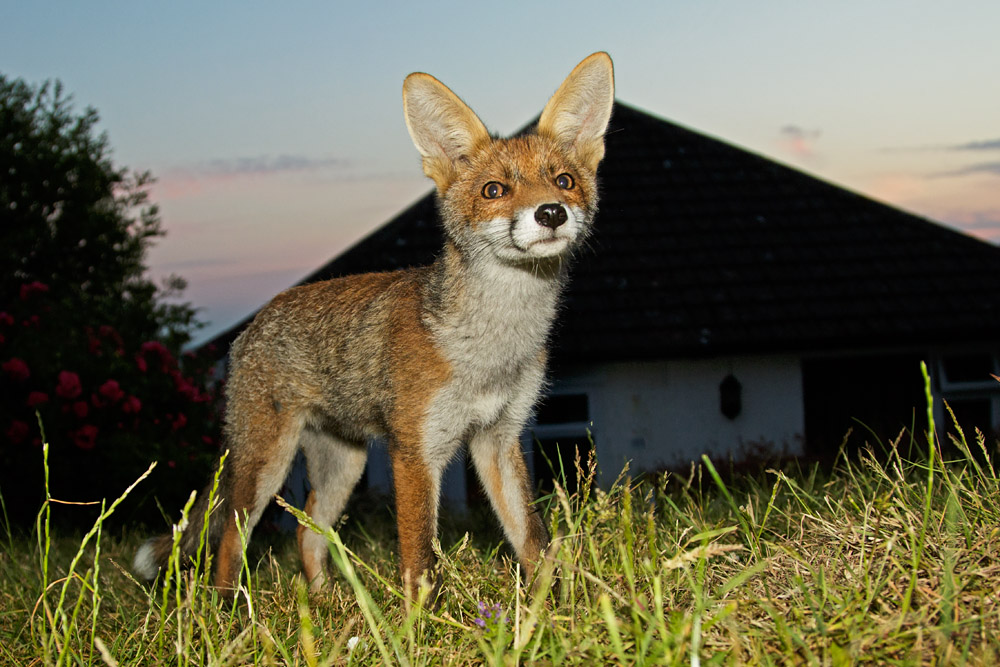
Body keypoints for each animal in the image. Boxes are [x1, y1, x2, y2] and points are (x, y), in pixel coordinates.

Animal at [134, 52, 615, 603]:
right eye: (495, 191)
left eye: (564, 181)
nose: (551, 213)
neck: (488, 348)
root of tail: (254, 323)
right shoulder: (415, 450)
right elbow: (420, 561)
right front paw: (421, 620)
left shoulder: (499, 438)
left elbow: (533, 541)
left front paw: (550, 609)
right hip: (265, 462)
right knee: (232, 540)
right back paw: (230, 609)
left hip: (344, 465)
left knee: (307, 534)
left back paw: (322, 602)